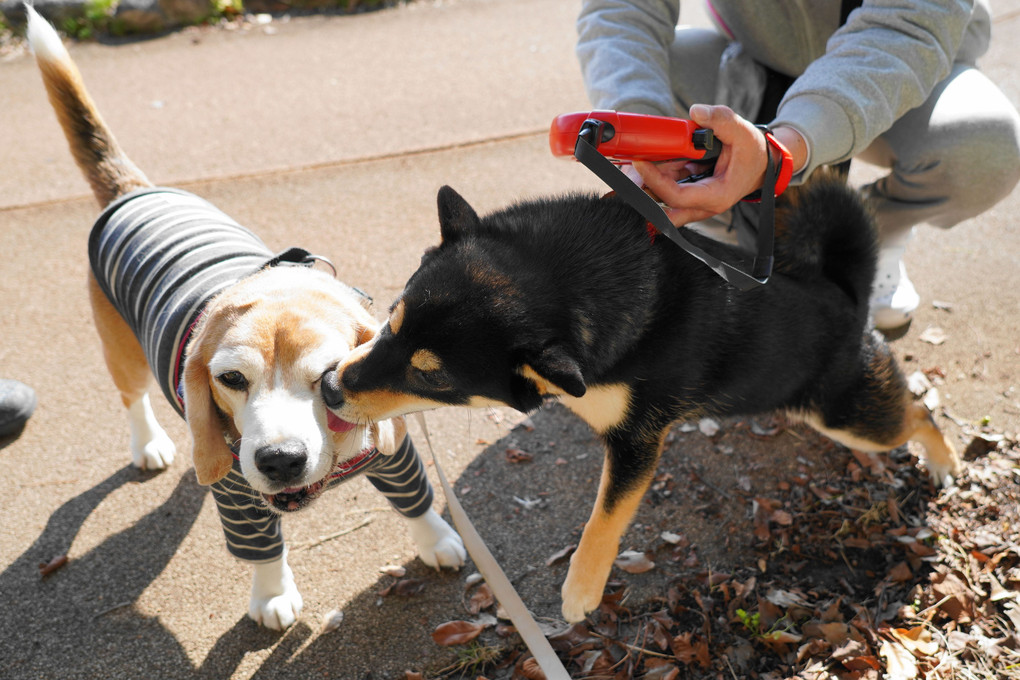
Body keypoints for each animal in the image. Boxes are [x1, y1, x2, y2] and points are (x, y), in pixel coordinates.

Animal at [26, 6, 467, 632]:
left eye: (329, 377)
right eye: (231, 379)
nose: (280, 461)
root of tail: (133, 191)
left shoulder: (394, 450)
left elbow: (415, 501)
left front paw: (437, 541)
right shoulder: (239, 495)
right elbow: (262, 551)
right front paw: (272, 596)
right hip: (122, 352)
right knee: (133, 399)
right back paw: (150, 444)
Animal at [320, 178, 962, 623]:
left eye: (433, 379)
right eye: (391, 322)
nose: (329, 385)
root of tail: (845, 297)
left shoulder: (638, 441)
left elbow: (603, 520)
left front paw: (581, 590)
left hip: (847, 416)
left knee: (919, 411)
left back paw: (945, 458)